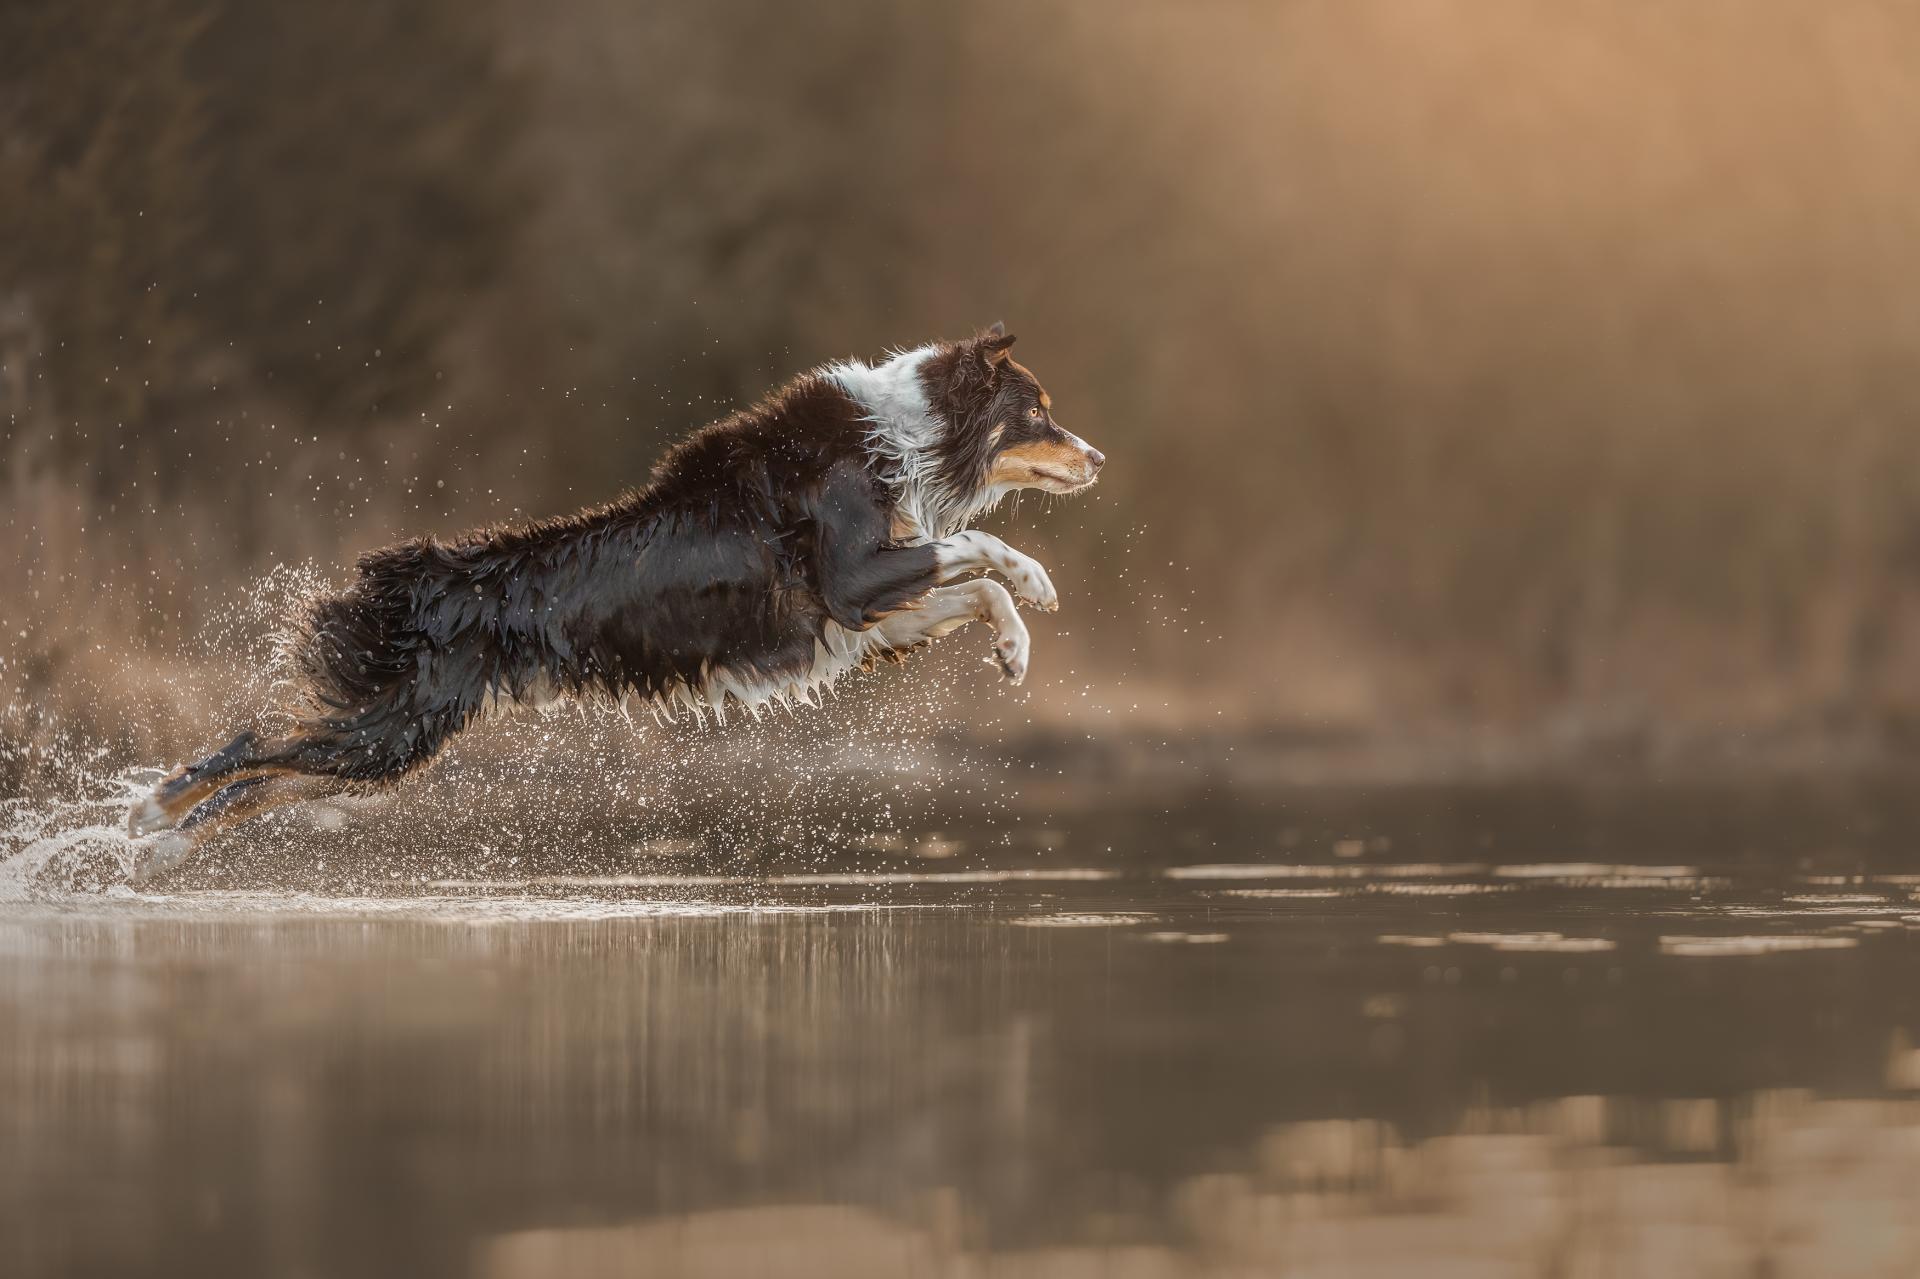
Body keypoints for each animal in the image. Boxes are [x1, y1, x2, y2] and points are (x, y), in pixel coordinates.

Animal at [127, 326, 1105, 875]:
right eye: (1039, 414)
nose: (1099, 457)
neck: (903, 435)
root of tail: (424, 573)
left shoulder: (858, 621)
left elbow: (975, 590)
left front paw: (1015, 647)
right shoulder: (853, 578)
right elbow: (982, 552)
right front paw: (1041, 581)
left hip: (401, 739)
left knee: (270, 774)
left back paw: (160, 840)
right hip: (394, 726)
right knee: (260, 739)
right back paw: (153, 816)